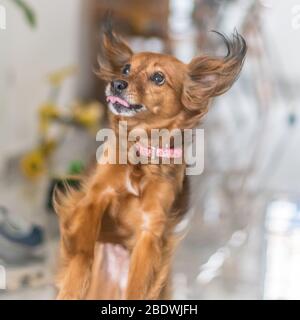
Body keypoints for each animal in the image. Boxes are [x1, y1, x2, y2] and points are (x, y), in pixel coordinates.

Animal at [54, 18, 246, 300]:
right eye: (126, 68)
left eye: (158, 78)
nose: (117, 83)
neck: (141, 154)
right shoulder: (94, 198)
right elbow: (83, 246)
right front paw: (74, 282)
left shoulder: (150, 230)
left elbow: (137, 283)